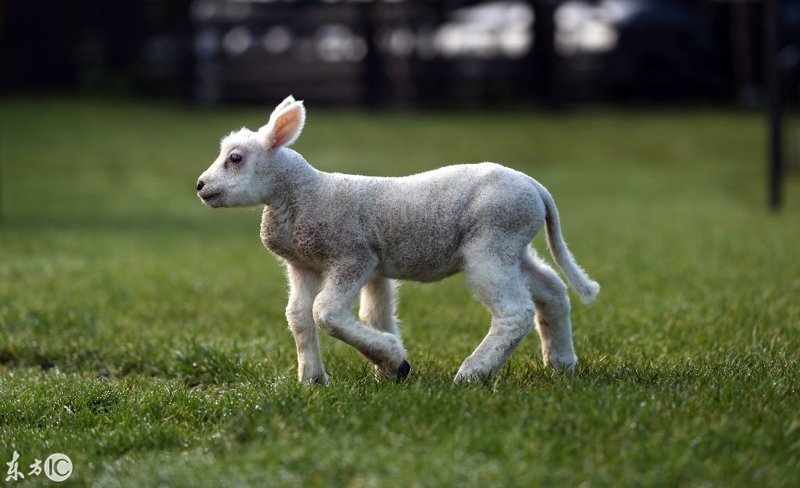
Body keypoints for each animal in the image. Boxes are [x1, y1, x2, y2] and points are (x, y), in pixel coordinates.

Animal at [197, 96, 600, 386]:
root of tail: (536, 187)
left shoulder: (353, 256)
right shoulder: (308, 264)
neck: (303, 193)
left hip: (491, 244)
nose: (201, 186)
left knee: (515, 311)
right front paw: (316, 380)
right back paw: (561, 364)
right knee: (552, 290)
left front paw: (394, 361)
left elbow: (325, 312)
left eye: (235, 158)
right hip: (513, 247)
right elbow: (305, 316)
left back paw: (473, 373)